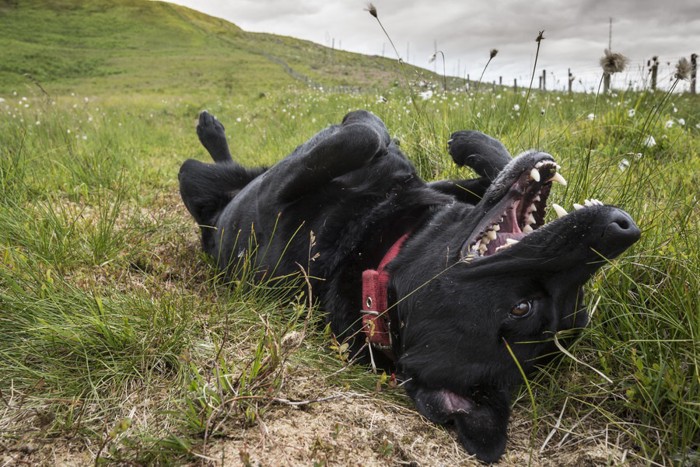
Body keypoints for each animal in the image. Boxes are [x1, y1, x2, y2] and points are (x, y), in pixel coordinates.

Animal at [179, 110, 640, 464]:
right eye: (578, 309)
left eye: (521, 308)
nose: (622, 229)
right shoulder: (447, 187)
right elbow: (492, 165)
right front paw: (470, 143)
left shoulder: (270, 192)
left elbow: (363, 134)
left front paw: (375, 128)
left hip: (208, 183)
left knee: (204, 168)